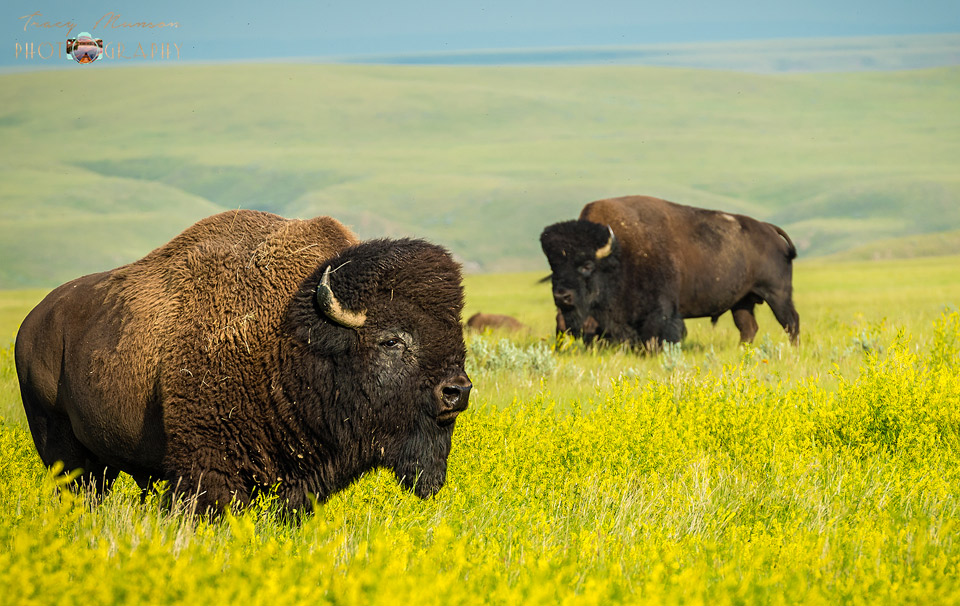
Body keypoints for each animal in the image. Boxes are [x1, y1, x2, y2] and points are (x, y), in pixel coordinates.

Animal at [16, 210, 471, 514]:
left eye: (457, 333)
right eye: (391, 339)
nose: (457, 391)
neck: (291, 338)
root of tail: (32, 323)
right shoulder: (208, 470)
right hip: (63, 452)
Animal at [541, 195, 799, 348]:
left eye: (587, 266)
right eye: (554, 267)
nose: (562, 296)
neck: (619, 252)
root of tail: (768, 229)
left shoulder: (661, 310)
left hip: (777, 294)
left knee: (791, 322)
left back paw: (792, 352)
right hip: (742, 301)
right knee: (748, 328)